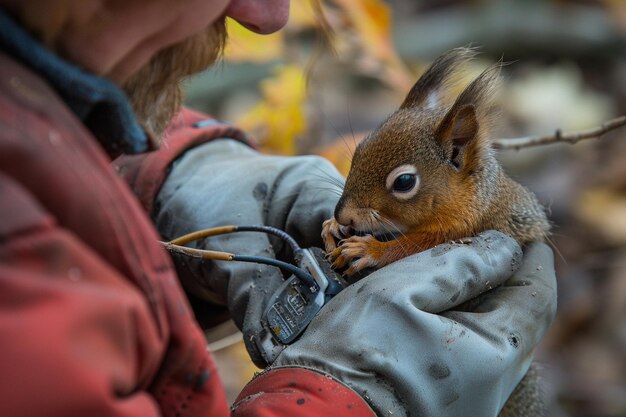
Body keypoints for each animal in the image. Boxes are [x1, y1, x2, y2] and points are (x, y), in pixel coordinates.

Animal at [322, 48, 552, 416]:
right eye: (358, 152)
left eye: (404, 182)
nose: (341, 213)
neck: (473, 199)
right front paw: (332, 227)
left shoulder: (460, 231)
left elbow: (407, 249)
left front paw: (368, 250)